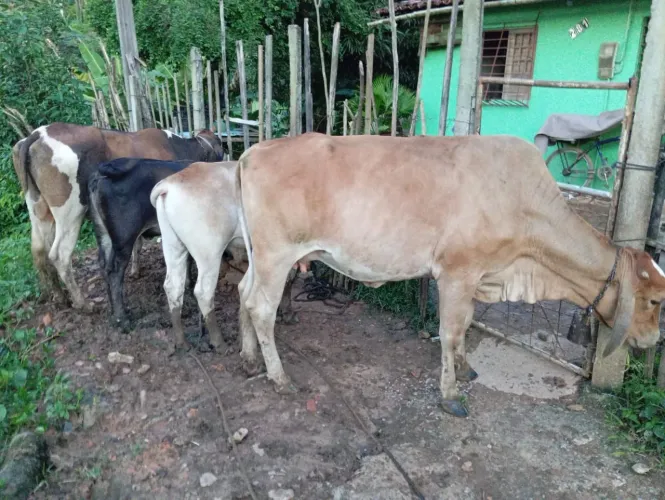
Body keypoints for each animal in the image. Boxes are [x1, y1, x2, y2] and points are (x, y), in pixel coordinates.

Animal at [11, 123, 225, 312]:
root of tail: (38, 134)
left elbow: (138, 242)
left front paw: (135, 270)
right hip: (69, 210)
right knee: (59, 254)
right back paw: (83, 304)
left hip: (38, 209)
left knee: (39, 251)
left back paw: (58, 296)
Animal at [150, 161, 298, 354]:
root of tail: (169, 184)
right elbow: (289, 277)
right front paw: (287, 313)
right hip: (209, 252)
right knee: (203, 292)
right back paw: (219, 342)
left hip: (173, 245)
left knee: (173, 286)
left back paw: (182, 342)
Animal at [234, 132, 665, 418]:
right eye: (655, 299)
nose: (653, 340)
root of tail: (255, 150)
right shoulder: (457, 272)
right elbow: (451, 331)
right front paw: (450, 394)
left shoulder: (476, 275)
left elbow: (468, 323)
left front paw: (464, 367)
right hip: (276, 255)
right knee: (261, 308)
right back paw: (278, 377)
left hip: (261, 257)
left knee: (242, 292)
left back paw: (249, 359)